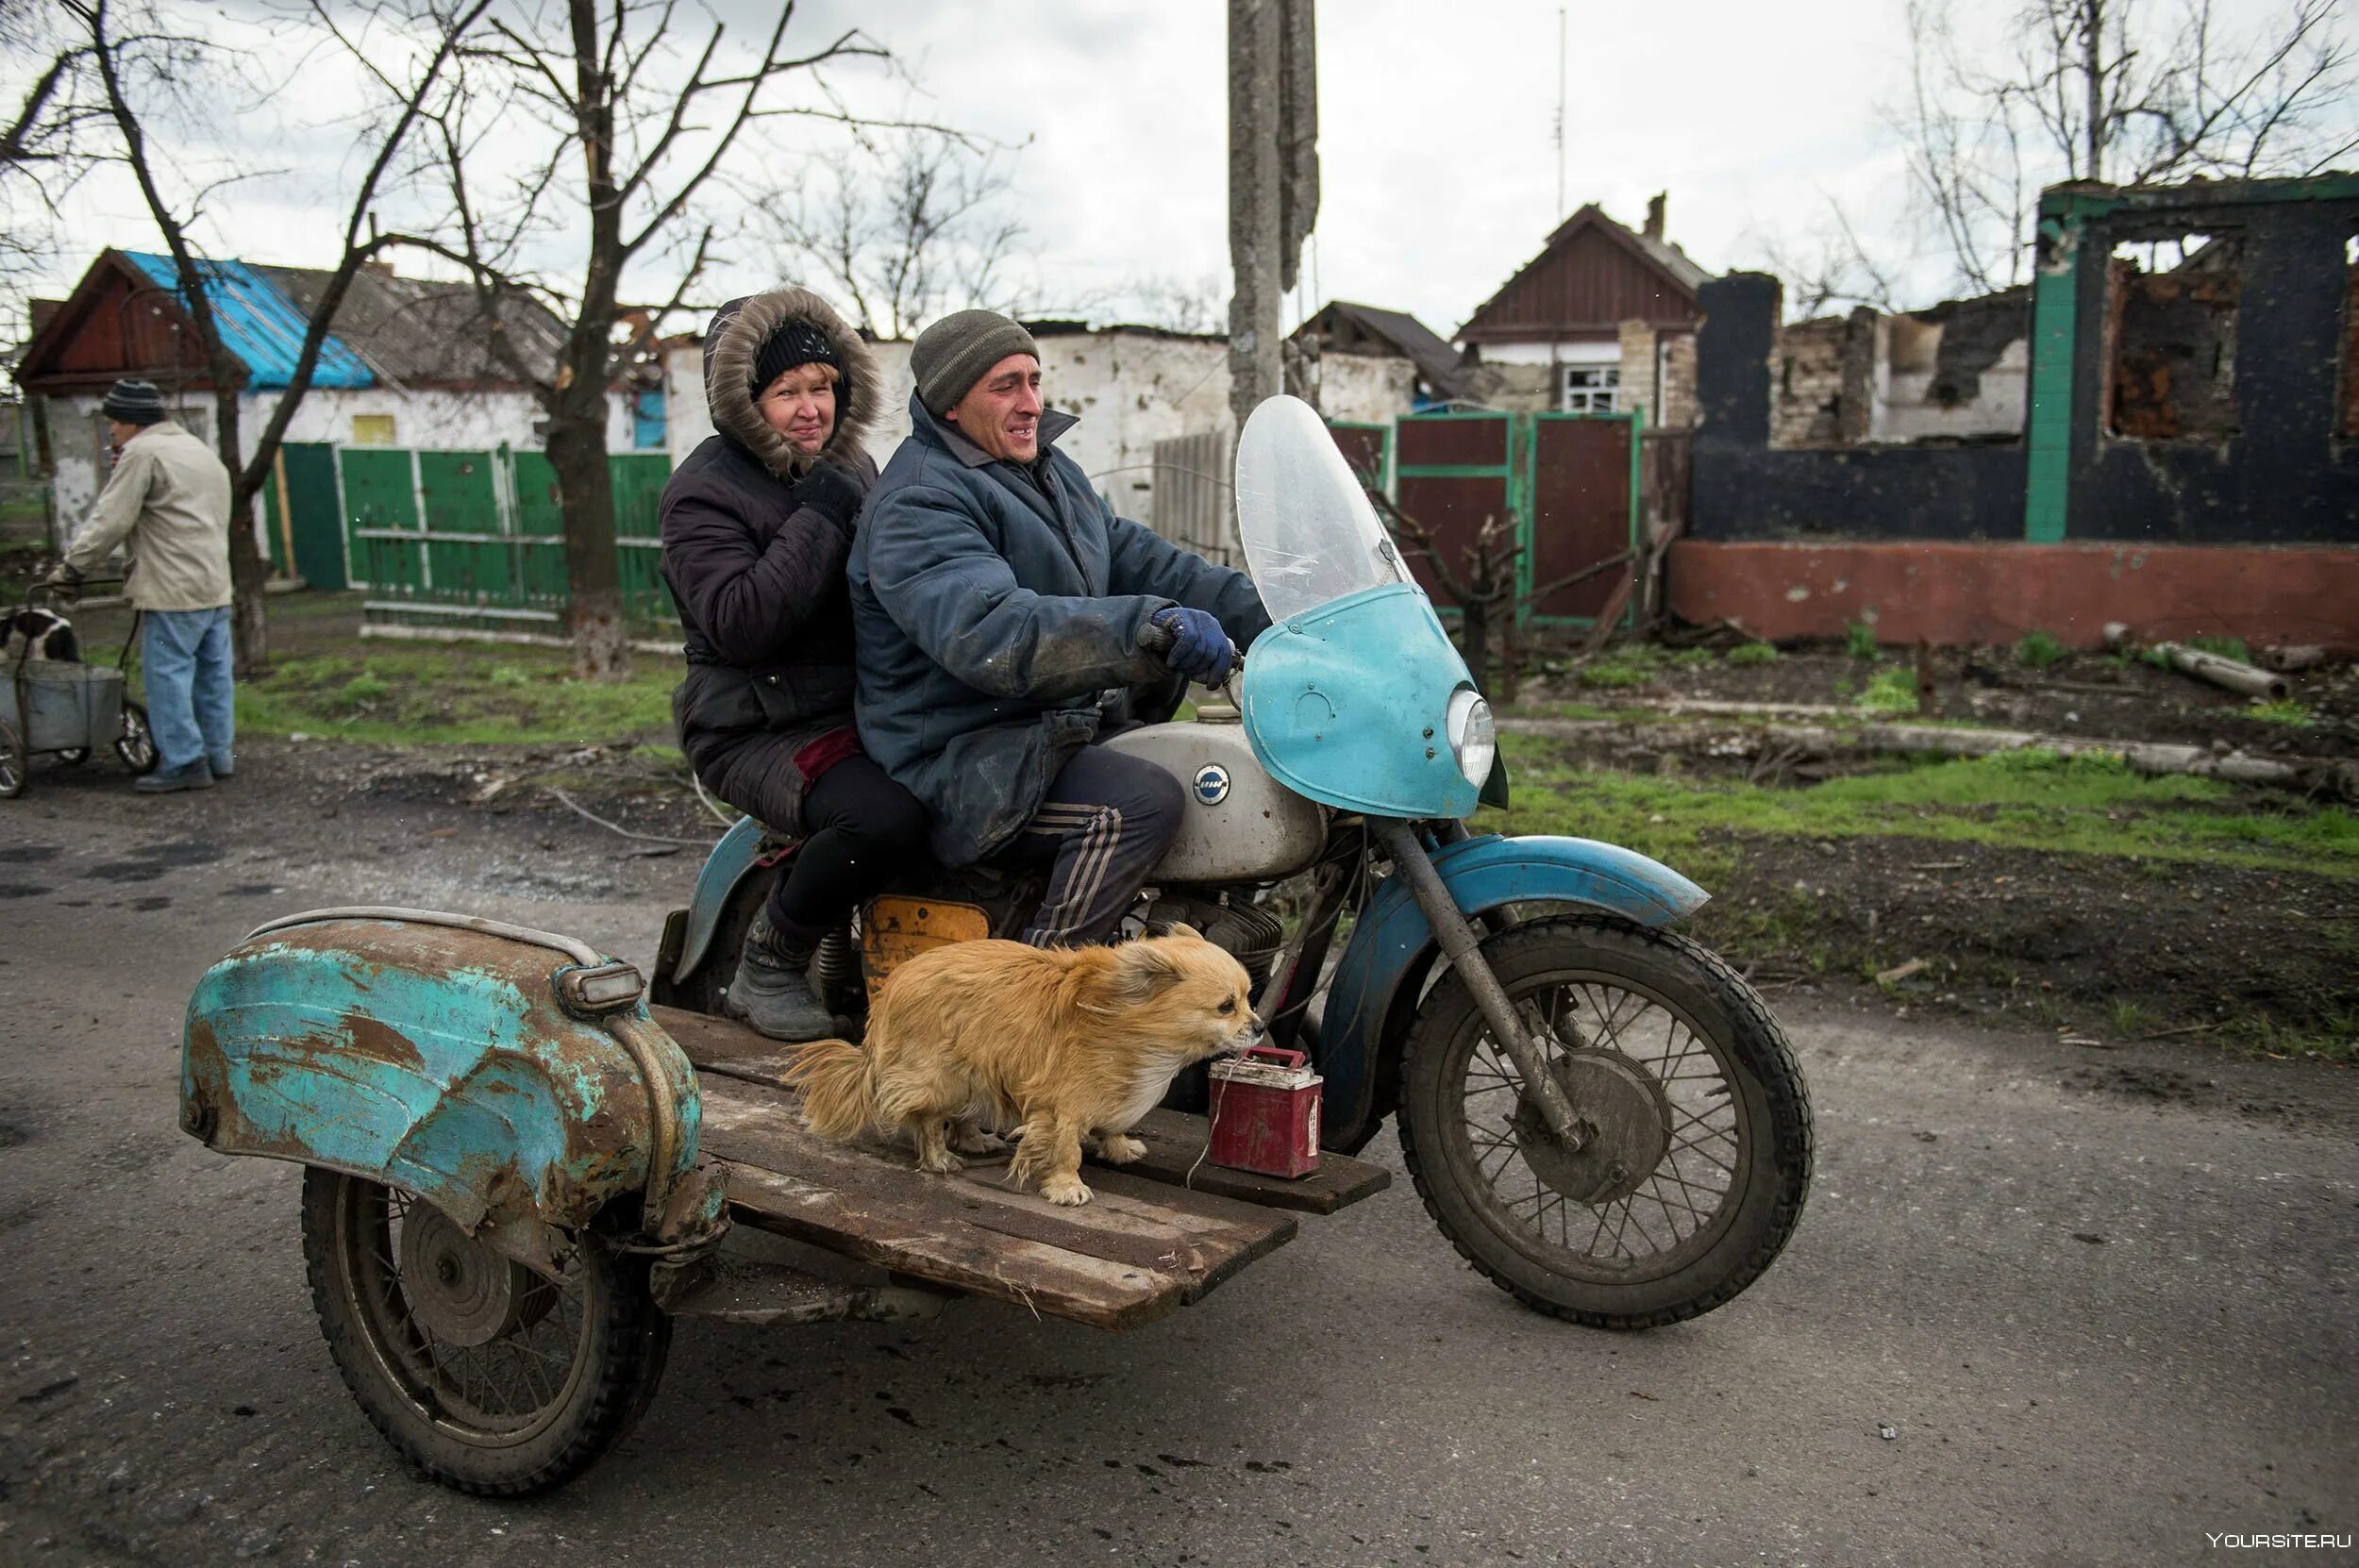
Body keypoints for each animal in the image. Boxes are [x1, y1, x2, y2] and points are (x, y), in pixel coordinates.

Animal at [783, 924, 1264, 1202]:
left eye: (1249, 999)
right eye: (1226, 1006)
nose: (1260, 1026)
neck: (1131, 1024)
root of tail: (890, 990)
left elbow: (1113, 1124)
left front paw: (1120, 1146)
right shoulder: (1062, 1107)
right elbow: (1068, 1149)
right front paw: (1067, 1187)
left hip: (977, 1072)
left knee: (961, 1116)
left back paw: (973, 1140)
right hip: (944, 1076)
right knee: (929, 1122)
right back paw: (940, 1159)